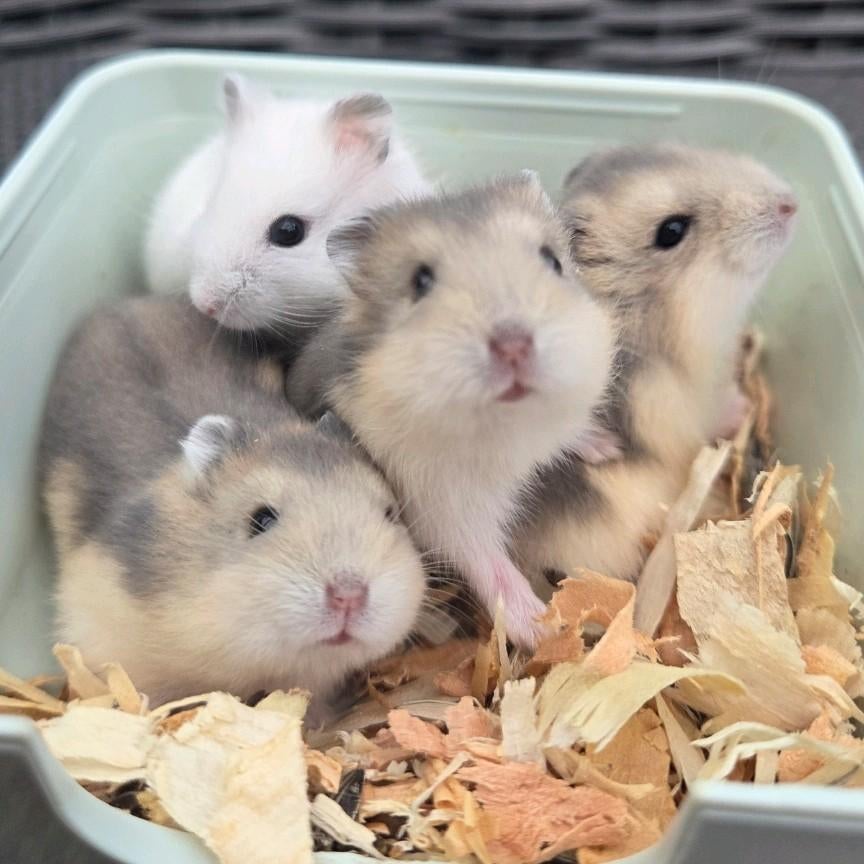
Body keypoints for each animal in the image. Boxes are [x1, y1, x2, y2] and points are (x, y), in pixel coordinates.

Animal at [286, 174, 615, 647]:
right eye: (420, 281)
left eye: (552, 260)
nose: (513, 346)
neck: (506, 422)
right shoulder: (445, 503)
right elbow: (487, 561)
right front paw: (543, 630)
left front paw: (608, 448)